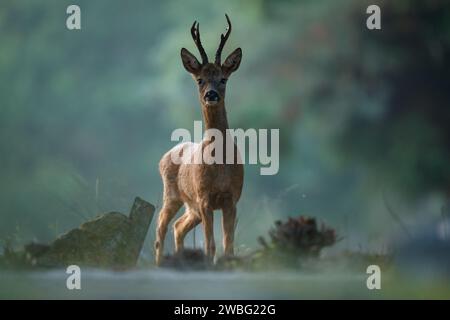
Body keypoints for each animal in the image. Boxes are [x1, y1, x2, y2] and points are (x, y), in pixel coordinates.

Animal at [156, 14, 244, 264]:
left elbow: (228, 246)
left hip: (191, 206)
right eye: (200, 80)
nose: (211, 95)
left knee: (178, 226)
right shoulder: (205, 198)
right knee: (161, 226)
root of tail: (164, 156)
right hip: (172, 195)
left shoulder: (231, 198)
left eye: (223, 79)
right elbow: (210, 245)